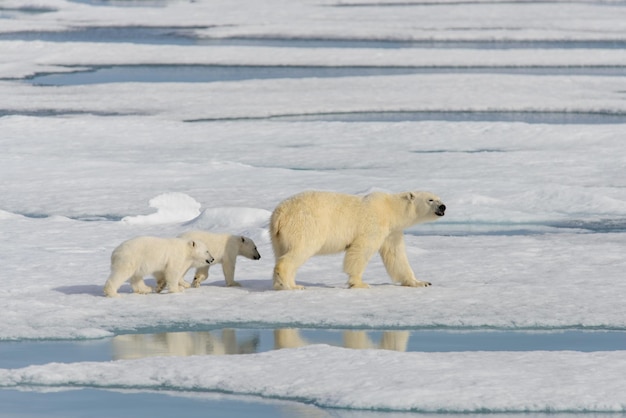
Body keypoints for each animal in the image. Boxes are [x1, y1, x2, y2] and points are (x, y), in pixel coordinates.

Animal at [268, 190, 444, 290]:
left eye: (439, 198)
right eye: (430, 199)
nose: (443, 207)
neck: (390, 209)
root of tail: (279, 214)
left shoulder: (392, 232)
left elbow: (396, 256)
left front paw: (420, 282)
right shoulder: (374, 224)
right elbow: (361, 250)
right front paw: (360, 283)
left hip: (278, 236)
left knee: (282, 252)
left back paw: (288, 284)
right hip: (305, 224)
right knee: (301, 249)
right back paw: (290, 285)